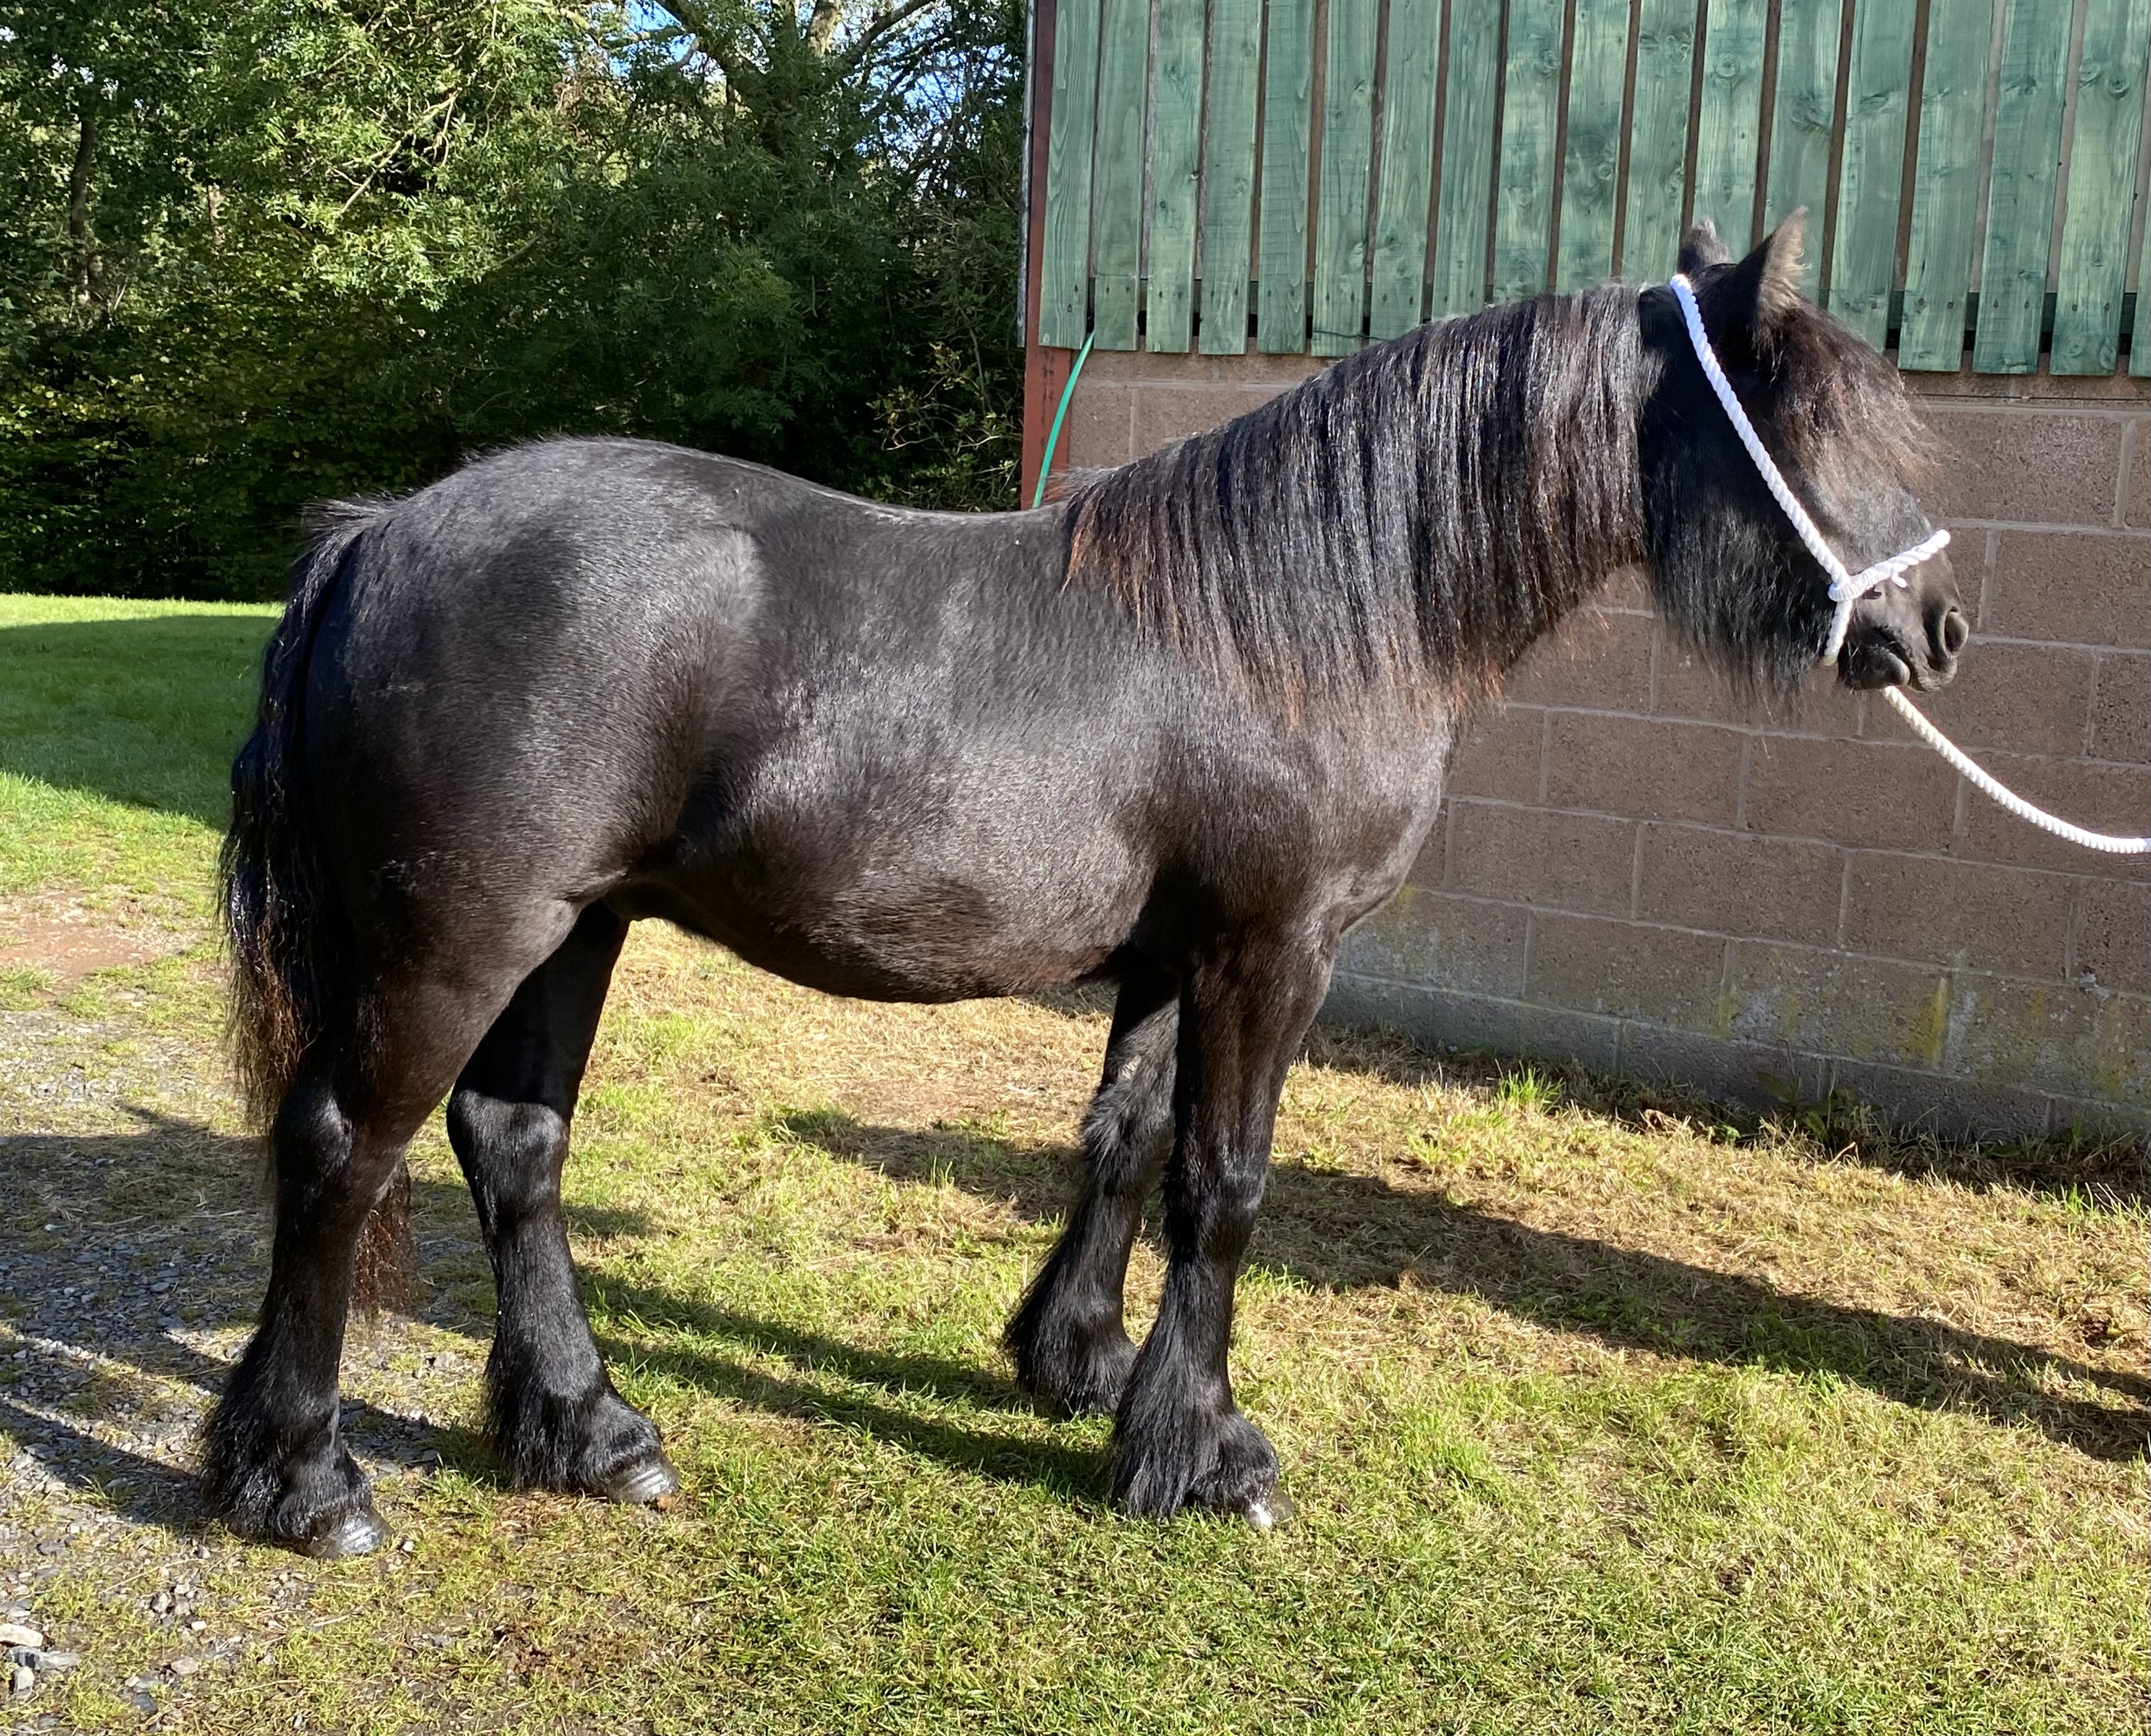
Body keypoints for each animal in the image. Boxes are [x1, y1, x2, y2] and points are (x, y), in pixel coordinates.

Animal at [204, 215, 1966, 1555]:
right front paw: (1204, 1452)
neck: (1303, 622)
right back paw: (306, 1479)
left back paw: (589, 1430)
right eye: (1815, 430)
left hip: (577, 932)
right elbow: (1226, 1186)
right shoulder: (1275, 952)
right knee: (342, 1150)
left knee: (515, 1146)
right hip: (463, 943)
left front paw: (1083, 1366)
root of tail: (380, 533)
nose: (1938, 629)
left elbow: (1125, 1144)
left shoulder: (1181, 956)